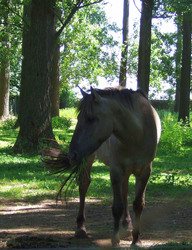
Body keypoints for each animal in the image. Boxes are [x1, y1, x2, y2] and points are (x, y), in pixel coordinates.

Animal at [44, 86, 161, 246]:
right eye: (79, 119)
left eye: (91, 118)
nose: (72, 155)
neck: (137, 135)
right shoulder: (116, 170)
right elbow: (117, 207)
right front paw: (115, 239)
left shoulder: (145, 171)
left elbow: (138, 204)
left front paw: (136, 240)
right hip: (89, 158)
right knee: (84, 185)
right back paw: (81, 228)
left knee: (124, 191)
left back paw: (127, 225)